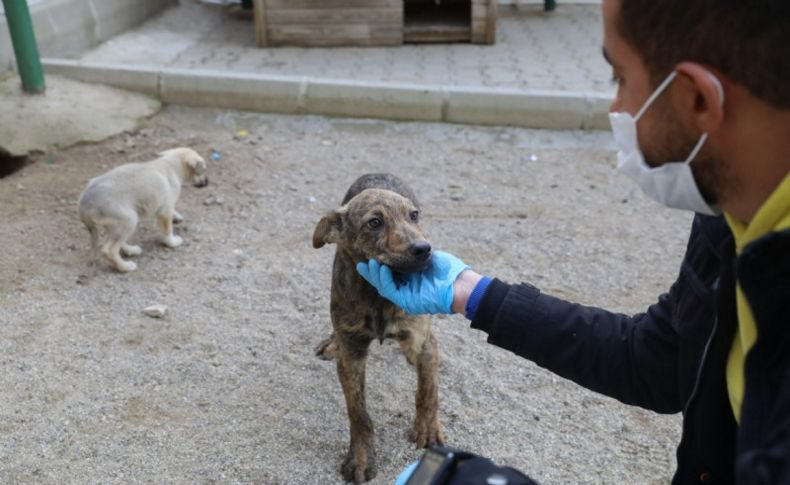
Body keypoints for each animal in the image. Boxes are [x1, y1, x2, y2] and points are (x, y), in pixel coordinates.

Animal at [79, 147, 209, 272]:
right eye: (203, 171)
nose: (208, 182)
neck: (170, 164)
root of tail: (84, 204)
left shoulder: (164, 207)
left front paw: (177, 217)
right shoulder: (165, 210)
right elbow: (168, 230)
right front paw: (172, 242)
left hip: (118, 224)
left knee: (118, 243)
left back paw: (131, 250)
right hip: (129, 219)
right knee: (109, 250)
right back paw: (125, 267)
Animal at [312, 173, 446, 480]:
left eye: (414, 216)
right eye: (375, 222)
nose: (424, 250)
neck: (378, 296)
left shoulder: (424, 343)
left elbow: (428, 391)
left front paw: (427, 429)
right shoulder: (352, 356)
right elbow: (358, 413)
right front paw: (361, 458)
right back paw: (332, 342)